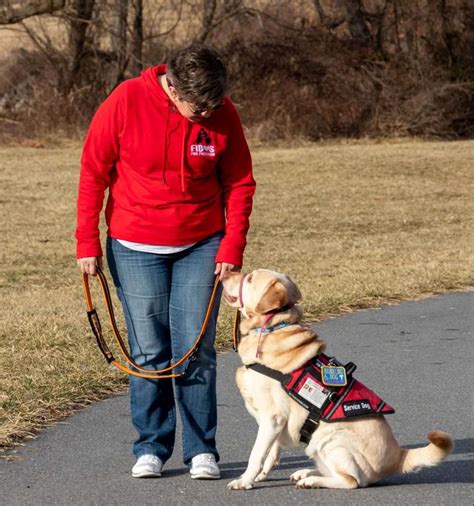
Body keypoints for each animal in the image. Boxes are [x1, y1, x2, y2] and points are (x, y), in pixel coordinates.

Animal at [221, 268, 452, 490]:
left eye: (250, 278)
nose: (224, 274)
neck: (274, 327)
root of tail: (398, 456)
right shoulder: (274, 423)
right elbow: (271, 451)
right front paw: (261, 474)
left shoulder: (272, 417)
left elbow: (256, 454)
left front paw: (245, 480)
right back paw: (306, 473)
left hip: (332, 439)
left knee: (350, 481)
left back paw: (311, 481)